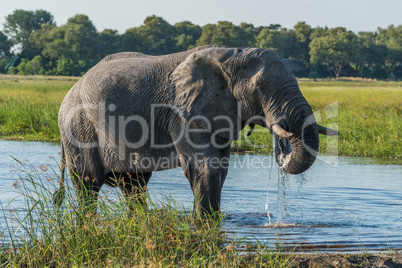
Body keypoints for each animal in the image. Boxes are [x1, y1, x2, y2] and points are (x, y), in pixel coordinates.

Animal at [55, 45, 340, 217]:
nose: (283, 142)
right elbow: (206, 168)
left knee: (133, 185)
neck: (230, 55)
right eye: (259, 89)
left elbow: (220, 169)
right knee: (88, 183)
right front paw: (206, 226)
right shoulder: (183, 114)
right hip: (77, 126)